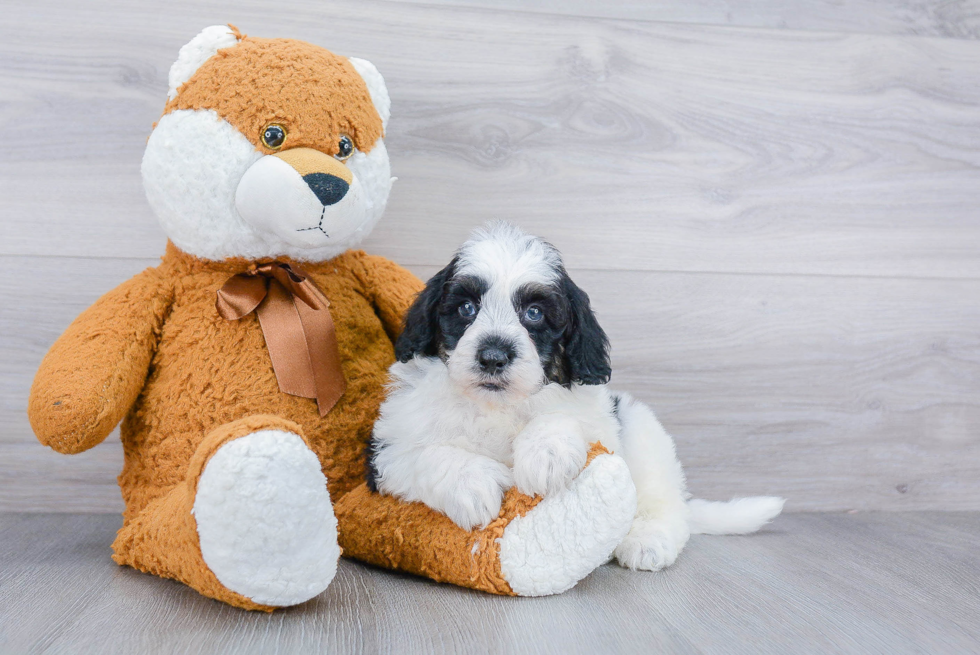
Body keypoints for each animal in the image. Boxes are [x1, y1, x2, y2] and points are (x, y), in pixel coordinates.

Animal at [370, 223, 788, 572]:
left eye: (534, 312)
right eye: (467, 308)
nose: (493, 356)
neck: (497, 405)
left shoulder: (599, 420)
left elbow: (564, 416)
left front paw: (546, 454)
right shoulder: (384, 454)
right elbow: (425, 455)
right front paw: (473, 484)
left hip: (641, 428)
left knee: (665, 501)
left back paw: (647, 539)